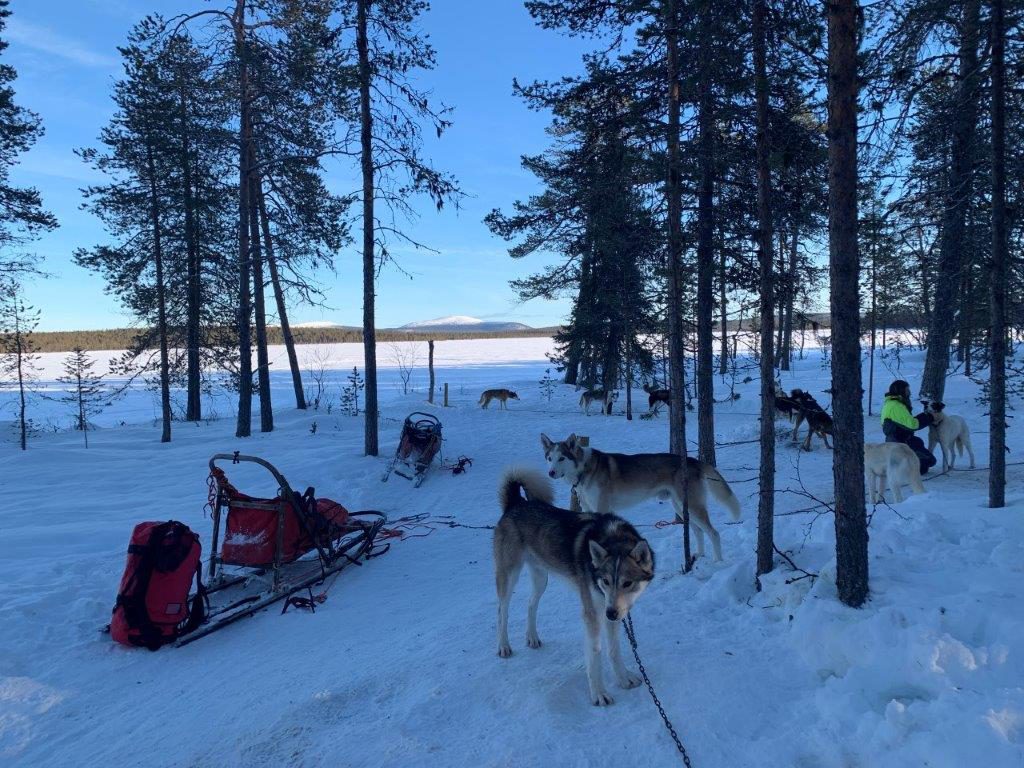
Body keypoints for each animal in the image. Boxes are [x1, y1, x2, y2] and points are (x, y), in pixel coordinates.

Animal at [495, 466, 655, 708]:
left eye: (627, 583)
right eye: (606, 581)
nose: (611, 613)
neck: (613, 537)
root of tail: (516, 502)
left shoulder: (610, 612)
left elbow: (614, 650)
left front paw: (623, 678)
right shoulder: (593, 613)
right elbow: (596, 655)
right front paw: (599, 694)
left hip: (541, 578)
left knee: (531, 604)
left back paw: (532, 638)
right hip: (509, 575)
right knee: (502, 611)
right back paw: (504, 646)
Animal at [540, 436, 741, 561]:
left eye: (562, 458)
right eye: (549, 458)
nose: (550, 473)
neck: (584, 469)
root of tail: (694, 461)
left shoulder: (602, 508)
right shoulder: (589, 509)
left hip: (692, 506)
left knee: (713, 533)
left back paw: (718, 562)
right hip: (680, 506)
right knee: (698, 531)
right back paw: (698, 555)